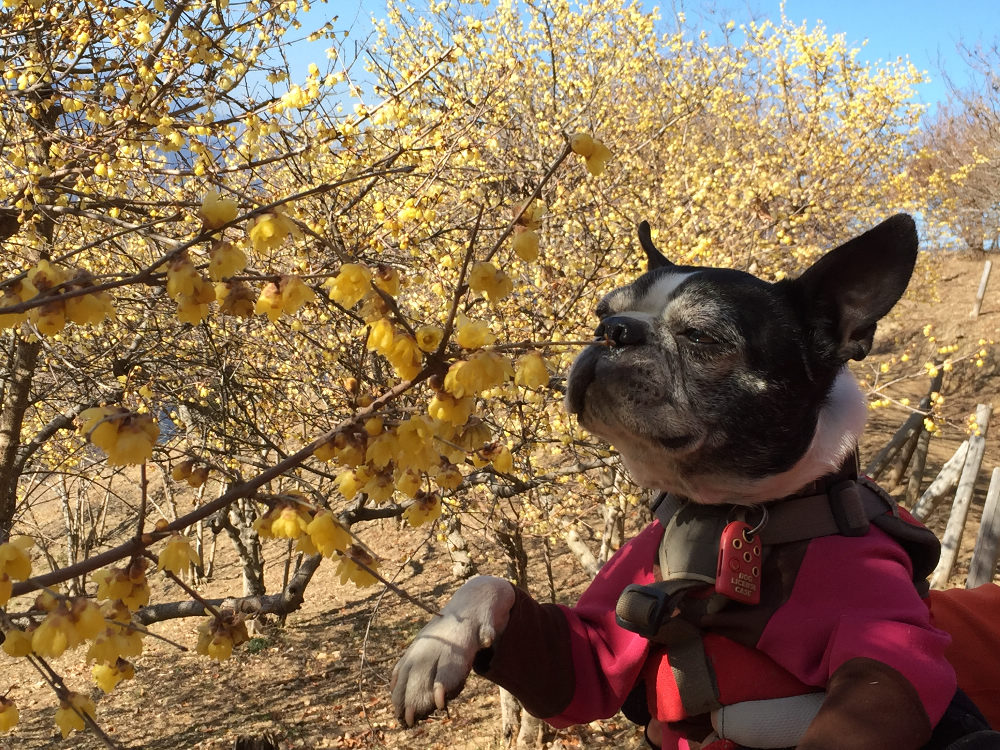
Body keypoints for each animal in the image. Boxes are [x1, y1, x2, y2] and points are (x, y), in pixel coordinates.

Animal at [390, 214, 1000, 748]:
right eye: (600, 313)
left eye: (702, 338)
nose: (613, 331)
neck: (725, 513)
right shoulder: (596, 650)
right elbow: (491, 583)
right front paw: (434, 648)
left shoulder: (890, 655)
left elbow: (870, 704)